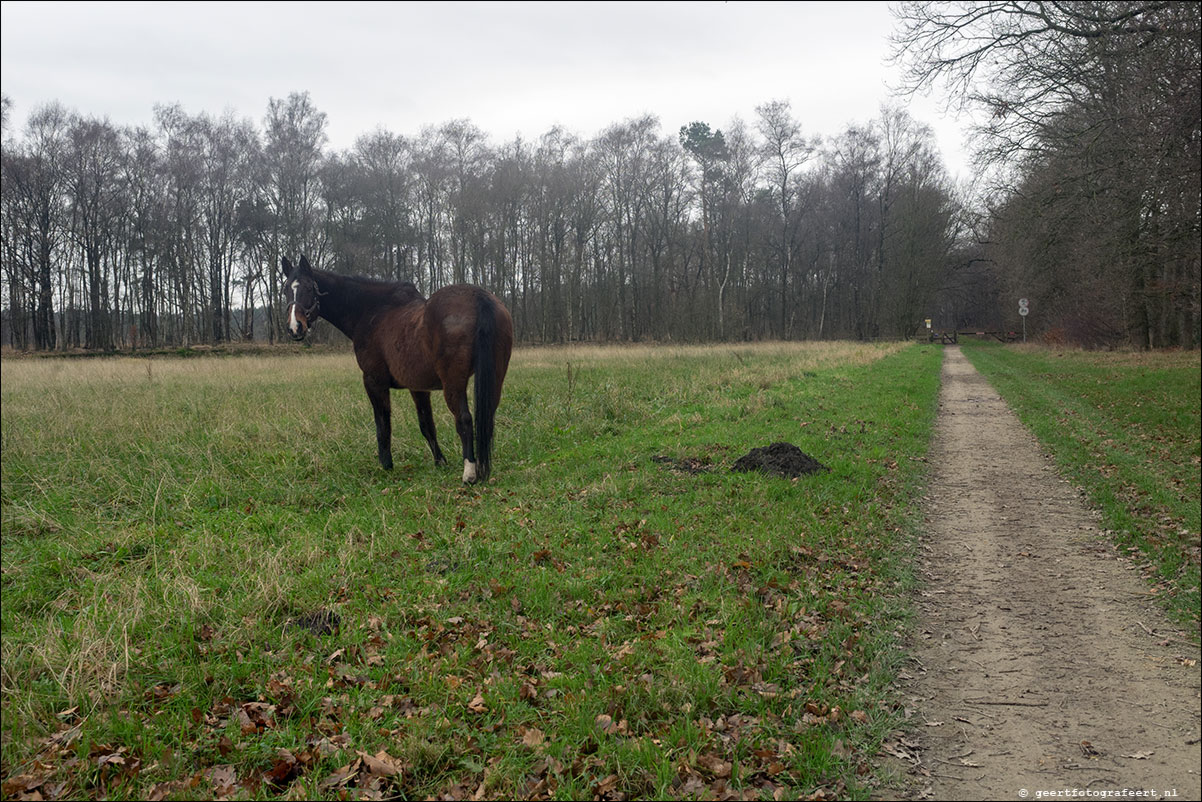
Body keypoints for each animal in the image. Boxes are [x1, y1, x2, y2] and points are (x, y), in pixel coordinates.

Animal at [283, 256, 514, 483]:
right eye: (286, 289)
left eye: (309, 288)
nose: (295, 327)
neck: (372, 312)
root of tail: (479, 297)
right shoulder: (418, 388)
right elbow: (426, 425)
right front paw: (440, 461)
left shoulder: (374, 382)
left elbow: (383, 425)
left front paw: (386, 465)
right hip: (495, 377)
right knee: (487, 418)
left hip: (454, 383)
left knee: (464, 419)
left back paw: (469, 472)